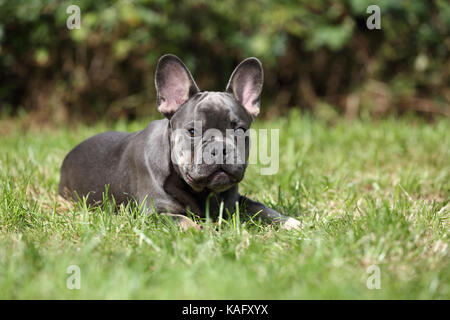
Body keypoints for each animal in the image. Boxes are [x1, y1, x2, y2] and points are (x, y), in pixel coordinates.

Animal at [58, 54, 300, 230]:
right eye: (192, 131)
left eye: (240, 130)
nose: (220, 148)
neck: (201, 193)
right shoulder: (156, 212)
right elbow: (185, 222)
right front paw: (204, 232)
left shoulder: (235, 202)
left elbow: (260, 207)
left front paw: (289, 222)